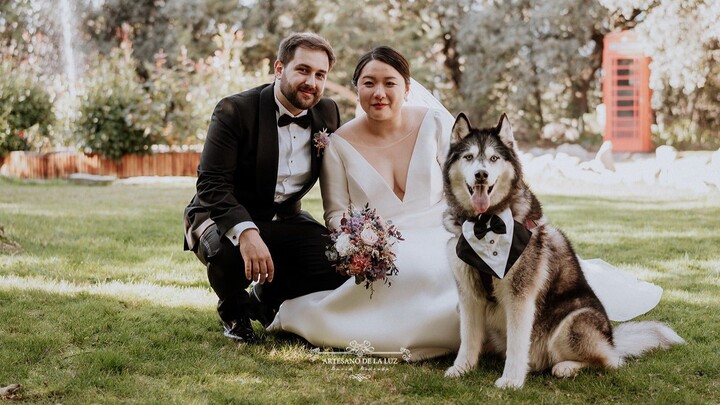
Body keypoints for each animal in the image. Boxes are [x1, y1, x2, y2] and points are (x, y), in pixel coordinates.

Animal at [442, 113, 684, 388]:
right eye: (469, 157)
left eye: (493, 158)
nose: (481, 175)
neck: (484, 223)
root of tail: (613, 339)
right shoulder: (468, 295)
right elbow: (468, 338)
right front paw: (462, 368)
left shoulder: (520, 297)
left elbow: (517, 343)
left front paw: (511, 379)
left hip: (573, 322)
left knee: (610, 361)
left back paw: (566, 367)